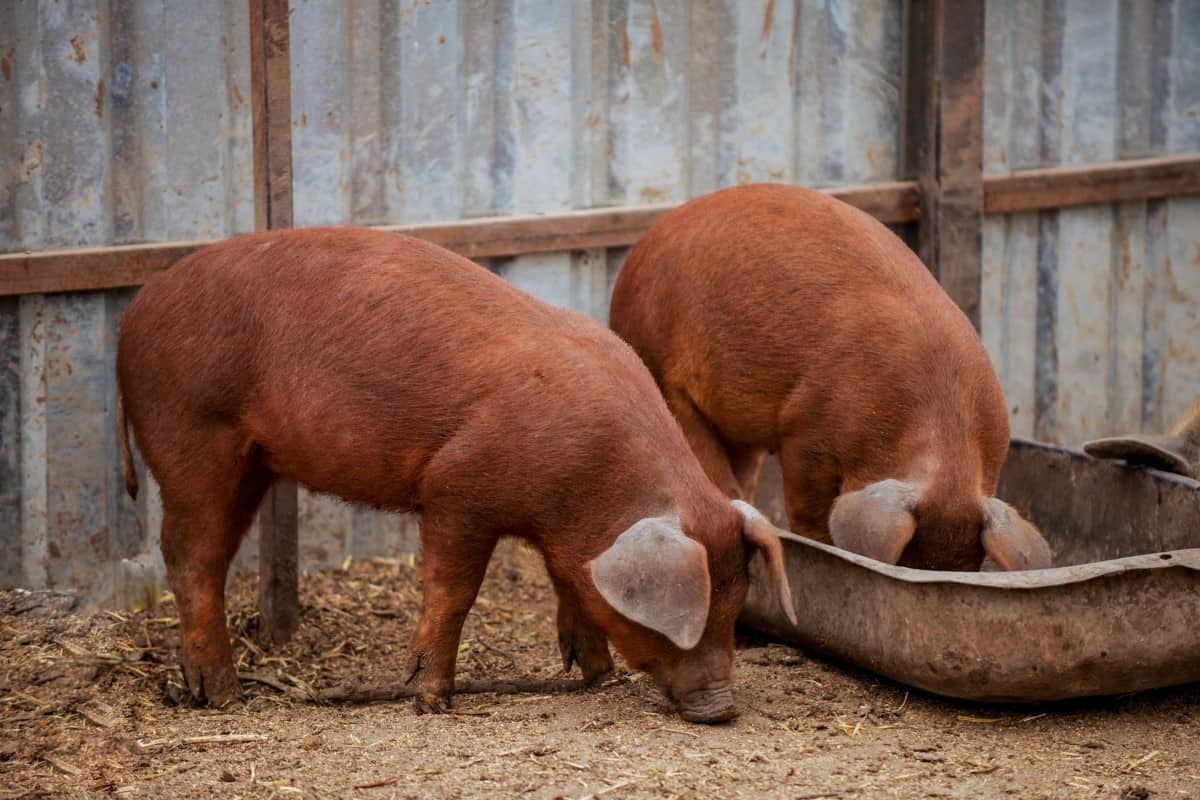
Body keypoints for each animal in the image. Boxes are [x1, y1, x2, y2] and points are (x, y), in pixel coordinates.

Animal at [117, 226, 796, 724]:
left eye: (736, 606)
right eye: (694, 614)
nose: (721, 709)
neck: (590, 486)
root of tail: (133, 315)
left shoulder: (561, 532)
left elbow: (571, 583)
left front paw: (591, 674)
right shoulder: (456, 491)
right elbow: (452, 594)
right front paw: (431, 700)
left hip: (250, 459)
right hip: (190, 431)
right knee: (190, 554)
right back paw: (221, 696)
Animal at [609, 184, 1051, 573]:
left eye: (969, 567)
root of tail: (639, 252)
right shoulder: (805, 431)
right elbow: (809, 507)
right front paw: (821, 546)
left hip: (738, 428)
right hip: (666, 379)